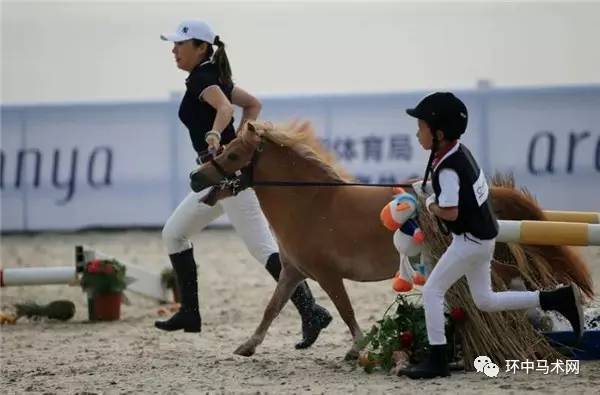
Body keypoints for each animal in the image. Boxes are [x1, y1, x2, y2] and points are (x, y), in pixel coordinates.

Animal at [190, 120, 592, 358]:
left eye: (233, 154)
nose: (195, 178)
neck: (310, 202)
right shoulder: (293, 271)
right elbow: (272, 308)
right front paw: (247, 345)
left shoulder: (328, 275)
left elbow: (346, 310)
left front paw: (357, 348)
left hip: (477, 256)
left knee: (509, 278)